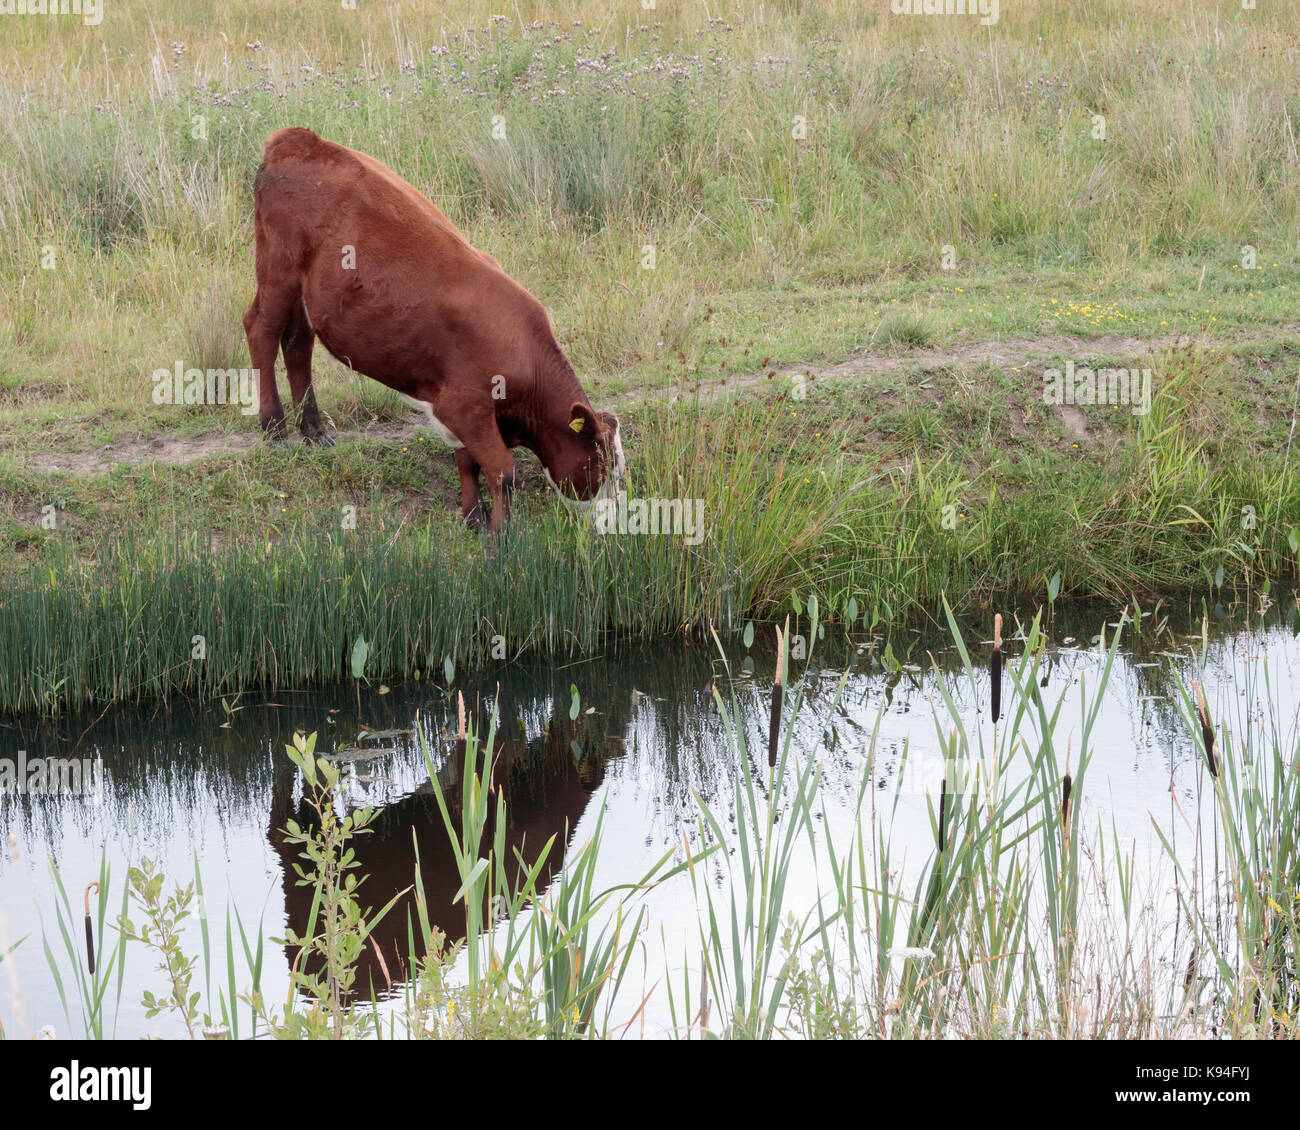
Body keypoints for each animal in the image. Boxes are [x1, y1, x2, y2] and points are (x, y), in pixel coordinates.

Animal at [243, 127, 624, 534]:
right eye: (603, 467)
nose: (613, 519)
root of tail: (297, 138)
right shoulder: (464, 405)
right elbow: (503, 471)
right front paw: (500, 534)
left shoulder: (458, 409)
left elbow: (467, 462)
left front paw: (473, 517)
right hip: (278, 268)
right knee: (262, 331)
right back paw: (275, 429)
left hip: (304, 291)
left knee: (298, 343)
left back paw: (313, 430)